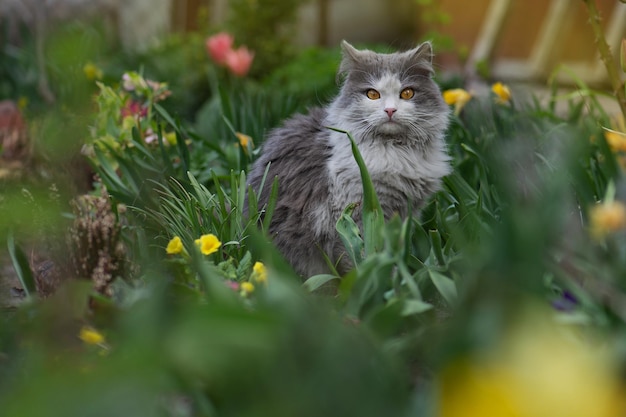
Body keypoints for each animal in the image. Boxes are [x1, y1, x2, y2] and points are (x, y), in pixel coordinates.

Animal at [246, 41, 450, 276]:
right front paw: (371, 279)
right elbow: (359, 255)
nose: (390, 110)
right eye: (372, 94)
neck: (393, 150)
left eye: (407, 93)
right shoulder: (353, 213)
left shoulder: (404, 212)